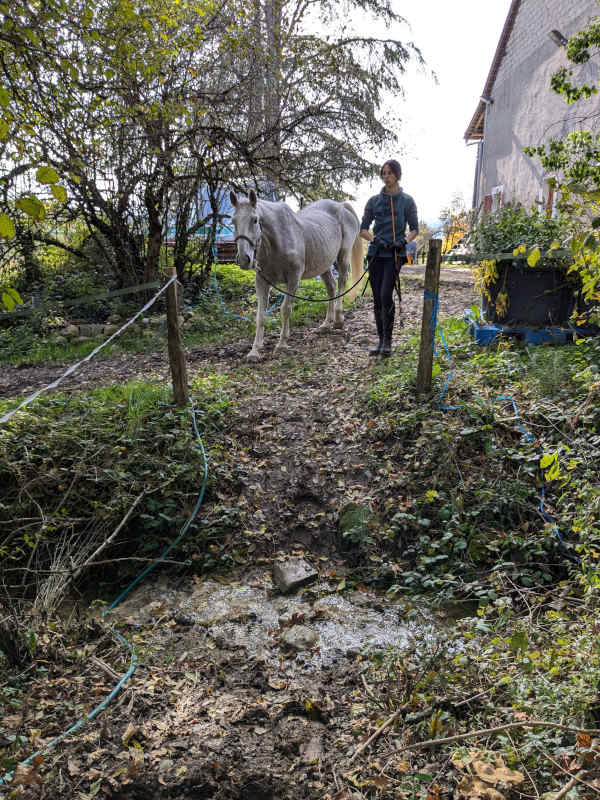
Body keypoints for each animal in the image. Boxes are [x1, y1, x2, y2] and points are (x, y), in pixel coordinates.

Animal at [229, 189, 360, 360]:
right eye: (233, 221)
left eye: (255, 220)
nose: (244, 259)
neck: (277, 242)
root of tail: (342, 206)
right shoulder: (262, 281)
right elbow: (260, 316)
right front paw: (254, 351)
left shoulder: (293, 278)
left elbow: (285, 309)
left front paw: (282, 344)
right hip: (323, 263)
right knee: (331, 287)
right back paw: (326, 324)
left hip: (343, 257)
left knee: (342, 282)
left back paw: (338, 320)